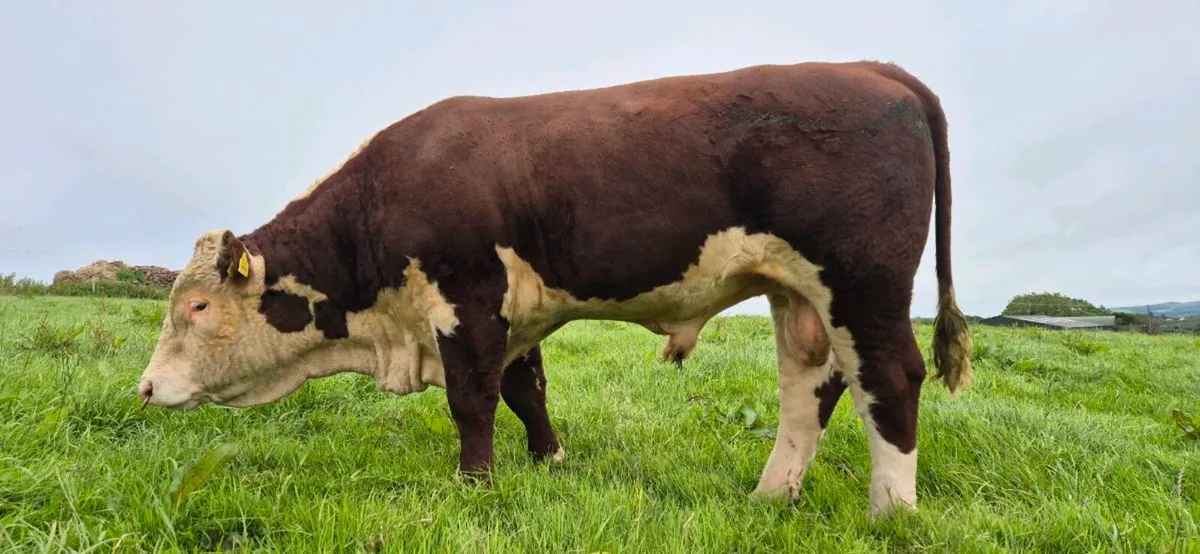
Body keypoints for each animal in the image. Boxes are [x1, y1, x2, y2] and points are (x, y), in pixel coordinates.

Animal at [137, 60, 973, 518]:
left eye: (197, 306)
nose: (144, 388)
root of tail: (870, 68)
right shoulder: (512, 311)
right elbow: (523, 388)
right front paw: (549, 459)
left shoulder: (466, 297)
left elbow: (472, 399)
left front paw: (475, 483)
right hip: (798, 292)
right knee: (812, 387)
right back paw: (771, 496)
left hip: (861, 283)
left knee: (889, 379)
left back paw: (890, 513)